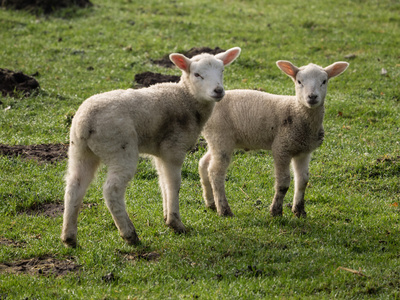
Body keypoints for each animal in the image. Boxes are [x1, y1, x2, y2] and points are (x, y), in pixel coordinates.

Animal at [59, 47, 241, 247]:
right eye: (197, 74)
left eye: (222, 71)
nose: (218, 91)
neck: (185, 98)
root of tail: (86, 122)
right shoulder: (174, 148)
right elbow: (174, 183)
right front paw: (175, 223)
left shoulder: (160, 152)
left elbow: (163, 182)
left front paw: (166, 216)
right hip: (119, 148)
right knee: (111, 190)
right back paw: (129, 234)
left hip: (80, 149)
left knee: (74, 186)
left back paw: (69, 237)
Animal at [198, 59, 348, 218]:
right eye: (299, 81)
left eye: (324, 81)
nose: (312, 97)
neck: (297, 111)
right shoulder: (281, 147)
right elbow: (283, 183)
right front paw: (275, 211)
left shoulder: (303, 151)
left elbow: (303, 180)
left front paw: (299, 211)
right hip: (221, 136)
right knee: (215, 172)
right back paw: (224, 210)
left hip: (216, 139)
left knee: (203, 163)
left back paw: (210, 203)